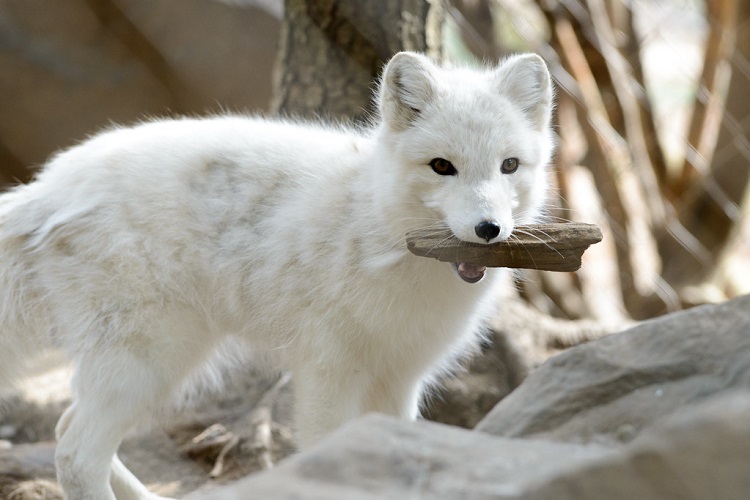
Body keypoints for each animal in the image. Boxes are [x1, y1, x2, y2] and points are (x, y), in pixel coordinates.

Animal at [0, 52, 552, 498]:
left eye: (509, 166)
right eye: (442, 166)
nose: (488, 229)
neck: (375, 227)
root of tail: (47, 186)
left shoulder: (400, 378)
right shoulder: (327, 373)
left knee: (66, 427)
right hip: (152, 361)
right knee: (75, 456)